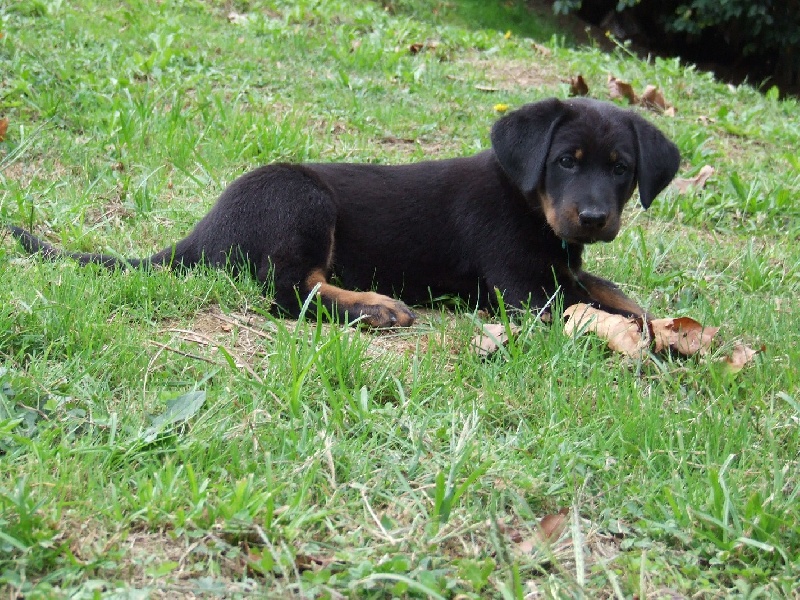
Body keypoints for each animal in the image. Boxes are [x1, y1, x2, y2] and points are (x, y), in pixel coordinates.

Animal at [9, 96, 680, 326]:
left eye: (621, 169)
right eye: (565, 161)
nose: (593, 218)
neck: (527, 200)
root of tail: (200, 233)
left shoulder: (565, 270)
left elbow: (616, 294)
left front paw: (671, 327)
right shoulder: (524, 290)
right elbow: (597, 312)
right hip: (300, 201)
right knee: (287, 292)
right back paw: (374, 308)